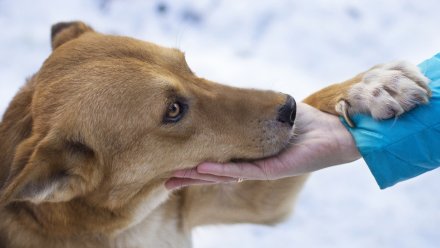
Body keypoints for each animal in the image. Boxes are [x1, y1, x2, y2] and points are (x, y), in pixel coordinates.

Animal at [0, 21, 430, 248]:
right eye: (173, 111)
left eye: (187, 65)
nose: (289, 108)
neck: (129, 224)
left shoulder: (249, 200)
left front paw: (366, 88)